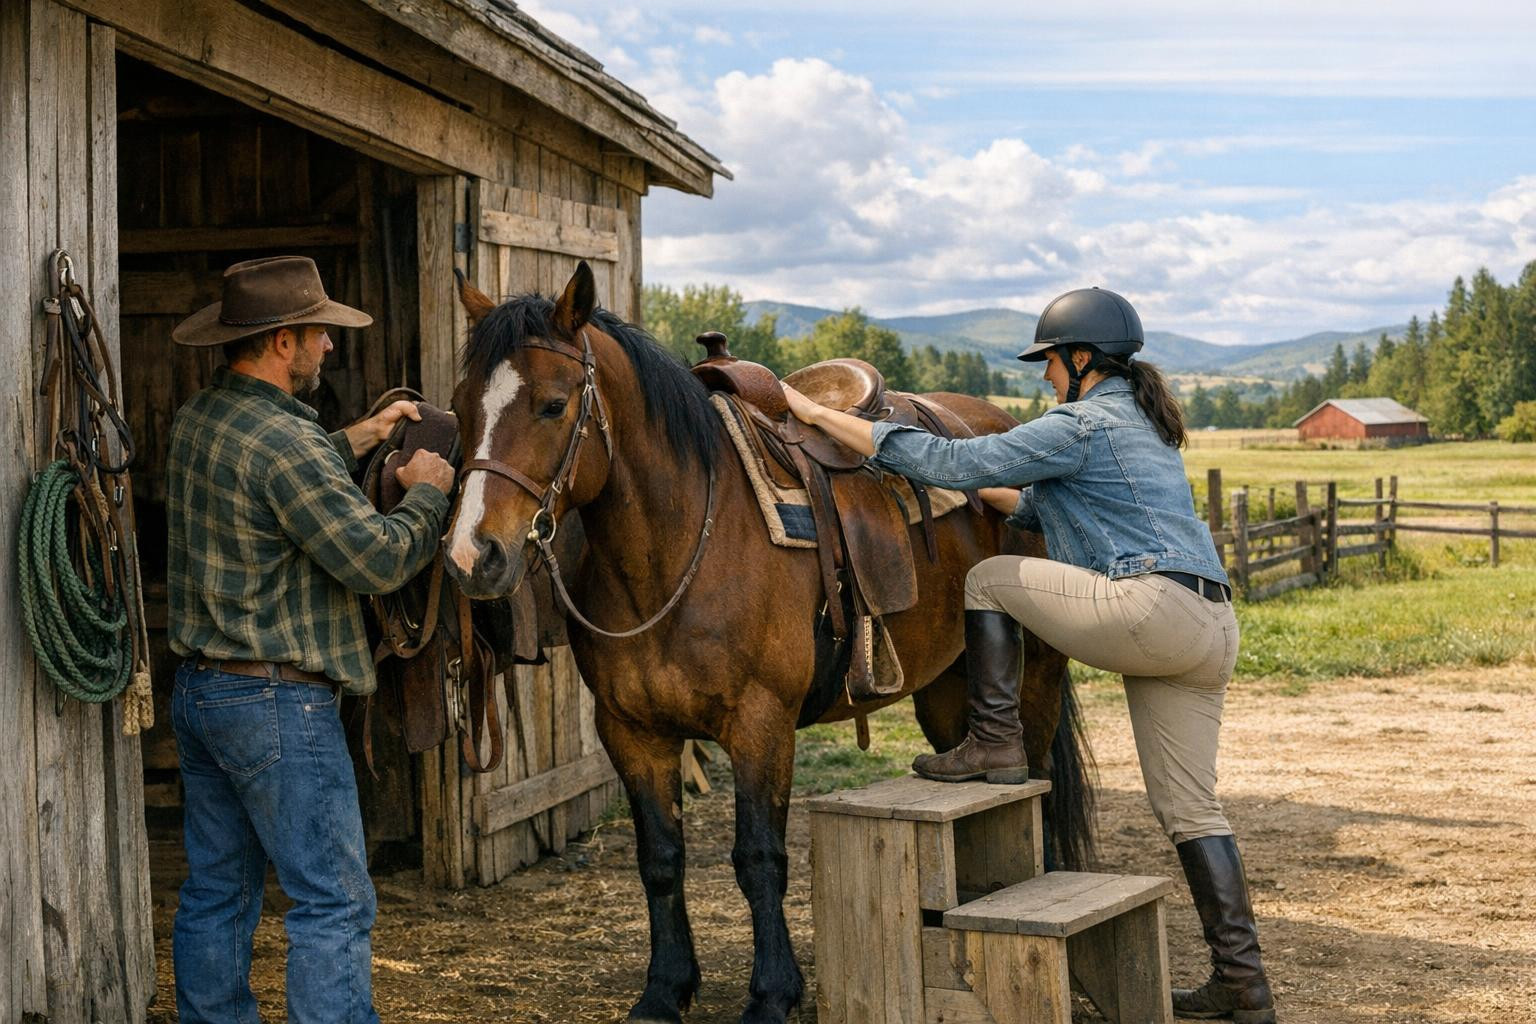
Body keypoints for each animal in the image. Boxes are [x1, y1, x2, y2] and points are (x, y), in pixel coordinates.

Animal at [441, 261, 1093, 1024]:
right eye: (460, 407)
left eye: (550, 405)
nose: (471, 555)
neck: (677, 547)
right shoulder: (632, 731)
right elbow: (660, 858)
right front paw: (665, 988)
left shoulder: (761, 724)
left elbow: (759, 859)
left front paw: (773, 993)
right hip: (946, 691)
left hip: (1037, 673)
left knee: (1039, 786)